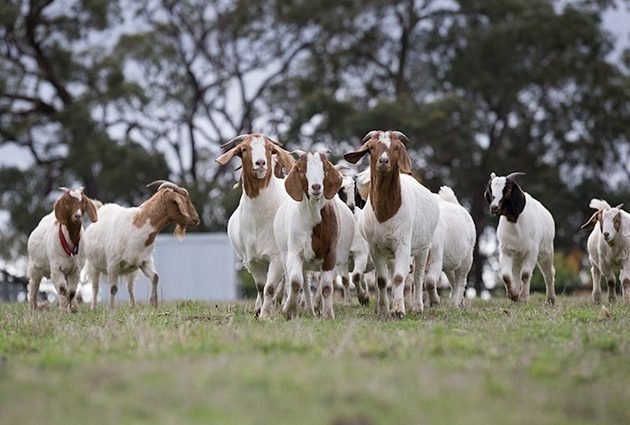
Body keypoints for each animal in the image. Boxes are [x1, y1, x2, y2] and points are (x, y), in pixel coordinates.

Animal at [83, 180, 198, 308]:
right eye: (184, 201)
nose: (196, 219)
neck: (135, 228)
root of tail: (100, 208)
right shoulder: (113, 264)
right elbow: (113, 288)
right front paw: (111, 308)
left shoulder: (144, 260)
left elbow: (155, 277)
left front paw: (154, 303)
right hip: (93, 266)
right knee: (95, 287)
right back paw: (93, 307)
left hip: (131, 270)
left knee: (130, 287)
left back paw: (133, 305)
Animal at [216, 134, 298, 316]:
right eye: (244, 149)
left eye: (269, 148)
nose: (260, 163)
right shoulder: (252, 260)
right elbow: (261, 288)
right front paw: (261, 311)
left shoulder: (276, 257)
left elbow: (270, 287)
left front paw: (266, 314)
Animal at [274, 151, 348, 316]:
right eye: (302, 170)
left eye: (325, 169)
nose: (316, 187)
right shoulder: (295, 251)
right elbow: (295, 282)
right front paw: (288, 310)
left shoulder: (331, 254)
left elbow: (326, 287)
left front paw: (328, 315)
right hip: (284, 253)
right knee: (295, 281)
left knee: (307, 284)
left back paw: (310, 311)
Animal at [344, 131, 442, 316]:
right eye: (371, 148)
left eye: (396, 148)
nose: (383, 161)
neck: (385, 212)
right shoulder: (375, 248)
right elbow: (382, 280)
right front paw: (383, 310)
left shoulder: (403, 244)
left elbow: (398, 278)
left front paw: (399, 310)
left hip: (423, 248)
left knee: (417, 277)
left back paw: (417, 306)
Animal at [486, 171, 556, 304]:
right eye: (491, 190)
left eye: (507, 190)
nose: (494, 207)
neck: (515, 222)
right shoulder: (506, 250)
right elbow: (506, 276)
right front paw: (513, 295)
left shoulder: (532, 251)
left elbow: (526, 274)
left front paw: (523, 298)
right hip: (517, 258)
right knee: (516, 273)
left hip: (546, 253)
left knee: (548, 274)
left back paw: (551, 299)